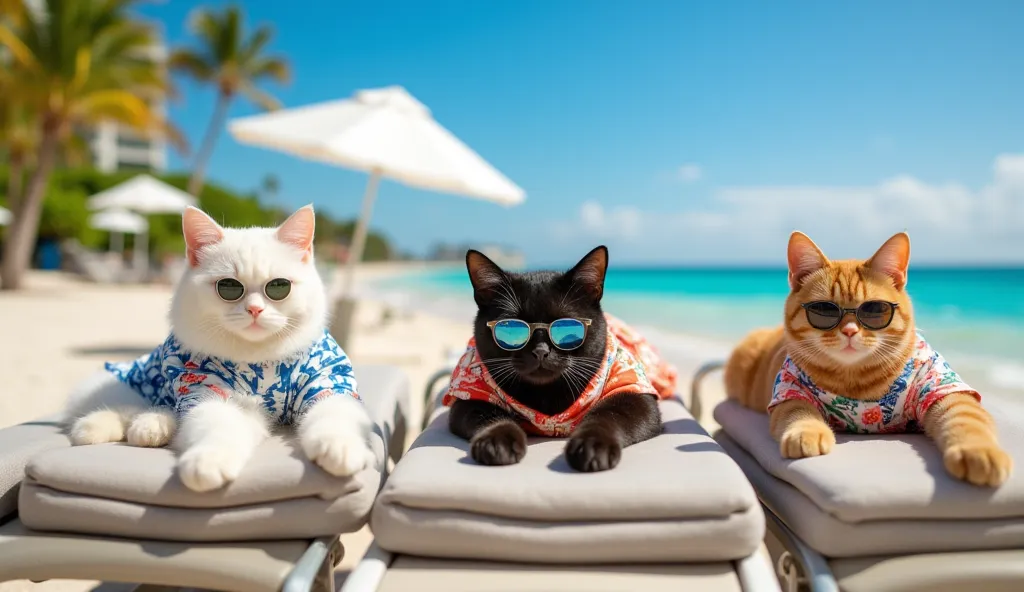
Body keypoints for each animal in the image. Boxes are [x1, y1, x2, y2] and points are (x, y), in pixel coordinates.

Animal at [60, 204, 372, 491]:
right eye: (229, 287)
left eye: (279, 287)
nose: (255, 310)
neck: (262, 361)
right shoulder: (208, 393)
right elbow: (219, 428)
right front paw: (207, 462)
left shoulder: (328, 384)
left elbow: (334, 418)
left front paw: (340, 449)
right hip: (131, 385)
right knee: (130, 407)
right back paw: (110, 427)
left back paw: (153, 426)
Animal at [448, 243, 663, 471]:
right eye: (511, 327)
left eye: (566, 325)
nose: (541, 350)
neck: (547, 395)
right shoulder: (469, 397)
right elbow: (493, 416)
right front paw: (496, 441)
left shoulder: (634, 393)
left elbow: (607, 415)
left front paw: (593, 444)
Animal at [724, 230, 1011, 483]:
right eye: (824, 310)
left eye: (874, 310)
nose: (850, 330)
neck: (857, 382)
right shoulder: (790, 390)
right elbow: (799, 413)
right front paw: (807, 432)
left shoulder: (941, 389)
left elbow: (966, 420)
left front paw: (979, 452)